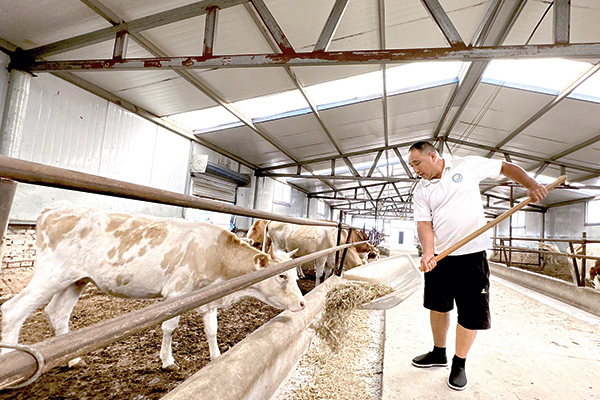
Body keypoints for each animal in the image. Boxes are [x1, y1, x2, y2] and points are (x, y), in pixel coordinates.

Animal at [1, 202, 304, 370]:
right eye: (281, 276)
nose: (302, 303)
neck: (217, 256)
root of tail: (56, 207)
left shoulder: (209, 297)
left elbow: (212, 329)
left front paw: (217, 357)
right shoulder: (177, 292)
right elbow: (169, 326)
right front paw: (167, 360)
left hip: (75, 280)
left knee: (57, 313)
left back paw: (73, 360)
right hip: (50, 275)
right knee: (13, 311)